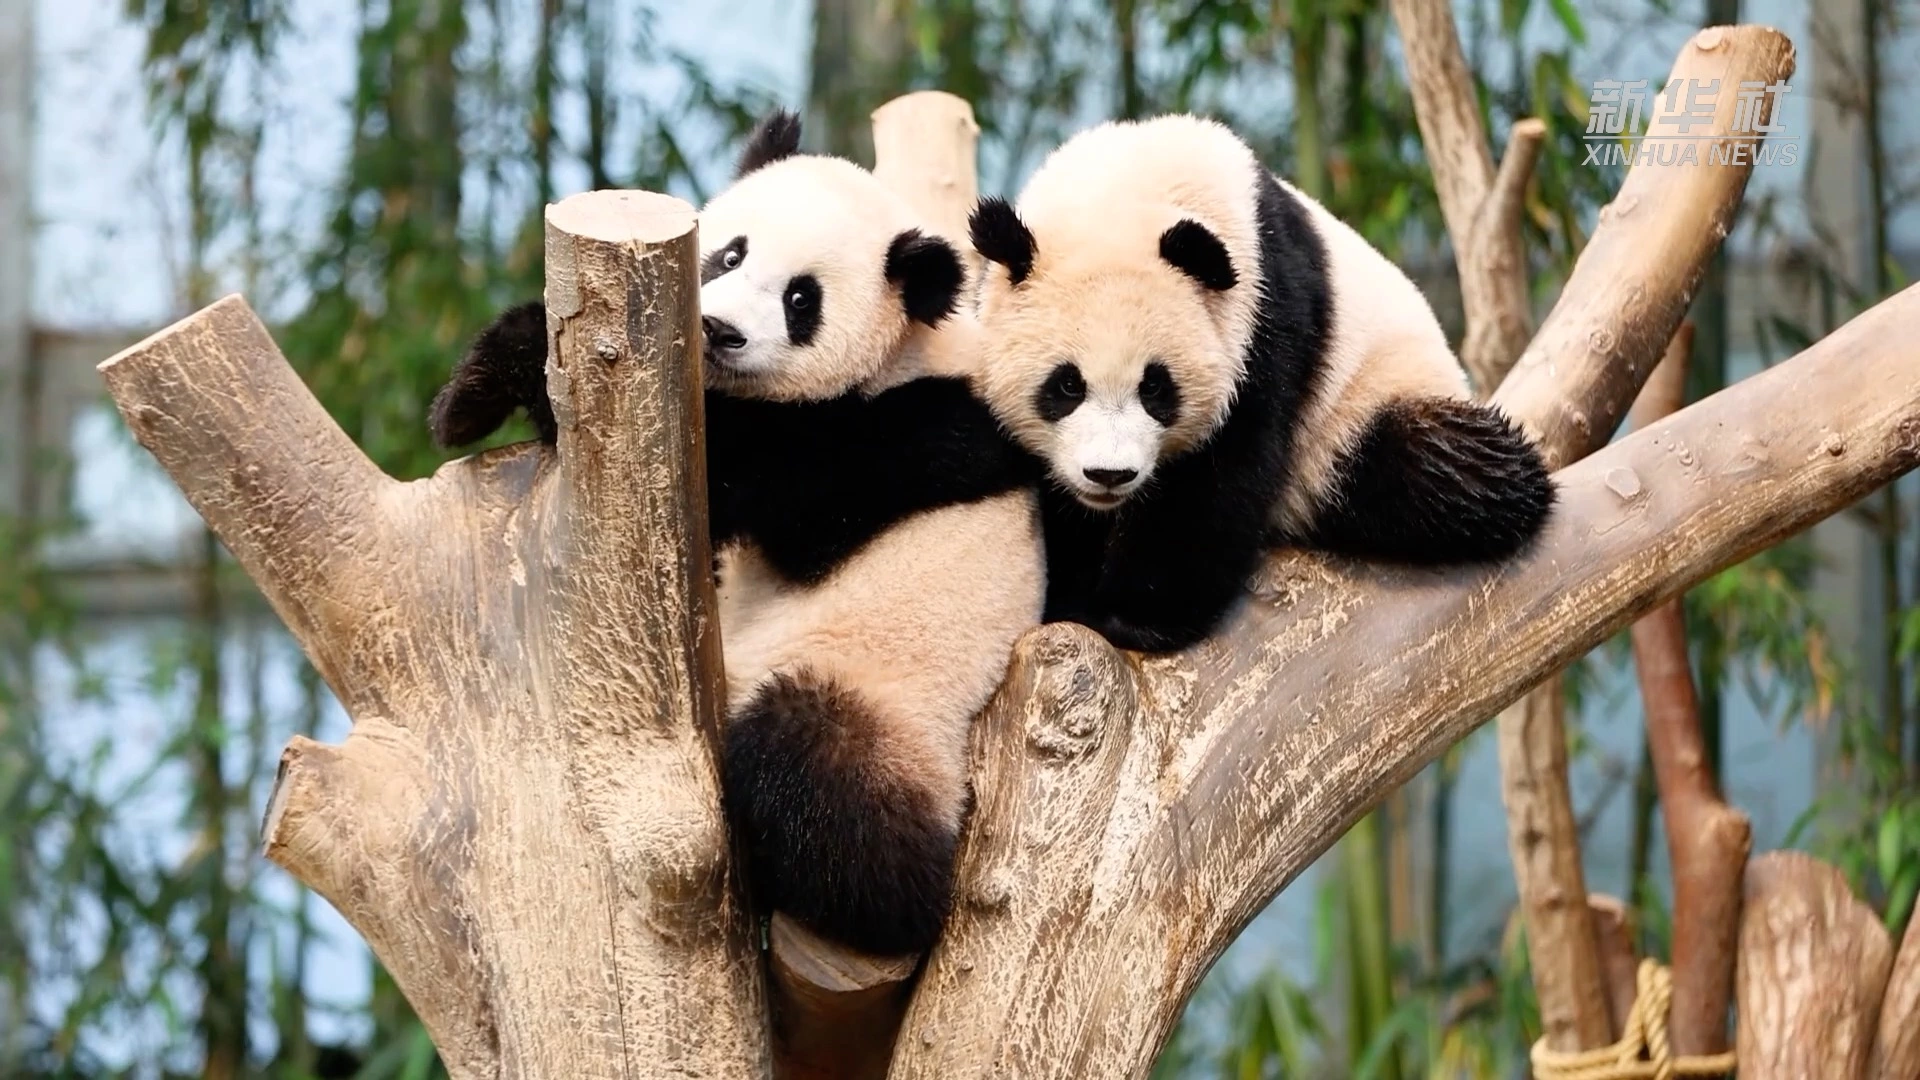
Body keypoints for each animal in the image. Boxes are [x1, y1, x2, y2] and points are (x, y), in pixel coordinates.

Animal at [429, 111, 1045, 956]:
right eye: (730, 253)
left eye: (800, 298)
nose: (719, 328)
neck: (903, 351)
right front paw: (469, 396)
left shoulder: (875, 449)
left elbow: (756, 482)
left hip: (889, 694)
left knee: (820, 774)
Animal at [966, 113, 1555, 654]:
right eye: (1067, 386)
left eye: (1156, 389)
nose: (1109, 475)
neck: (1126, 186)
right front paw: (1071, 599)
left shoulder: (1266, 315)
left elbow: (1224, 469)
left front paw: (1133, 616)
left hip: (1369, 403)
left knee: (1442, 465)